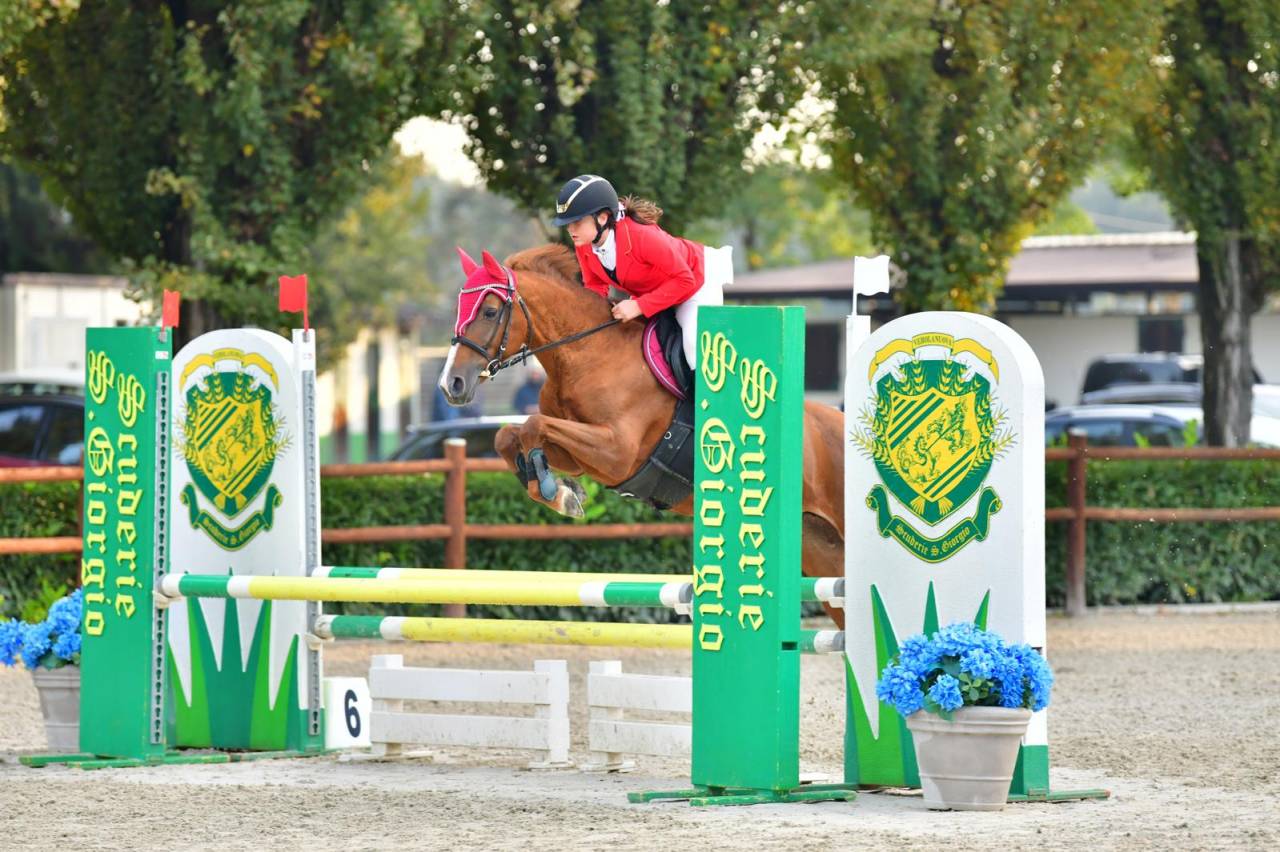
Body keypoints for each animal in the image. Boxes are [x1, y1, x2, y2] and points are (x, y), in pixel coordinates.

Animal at [438, 244, 847, 627]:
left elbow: (533, 426)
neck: (588, 354)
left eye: (490, 312)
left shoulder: (616, 451)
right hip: (820, 550)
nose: (450, 385)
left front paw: (560, 493)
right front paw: (560, 492)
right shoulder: (582, 455)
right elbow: (508, 436)